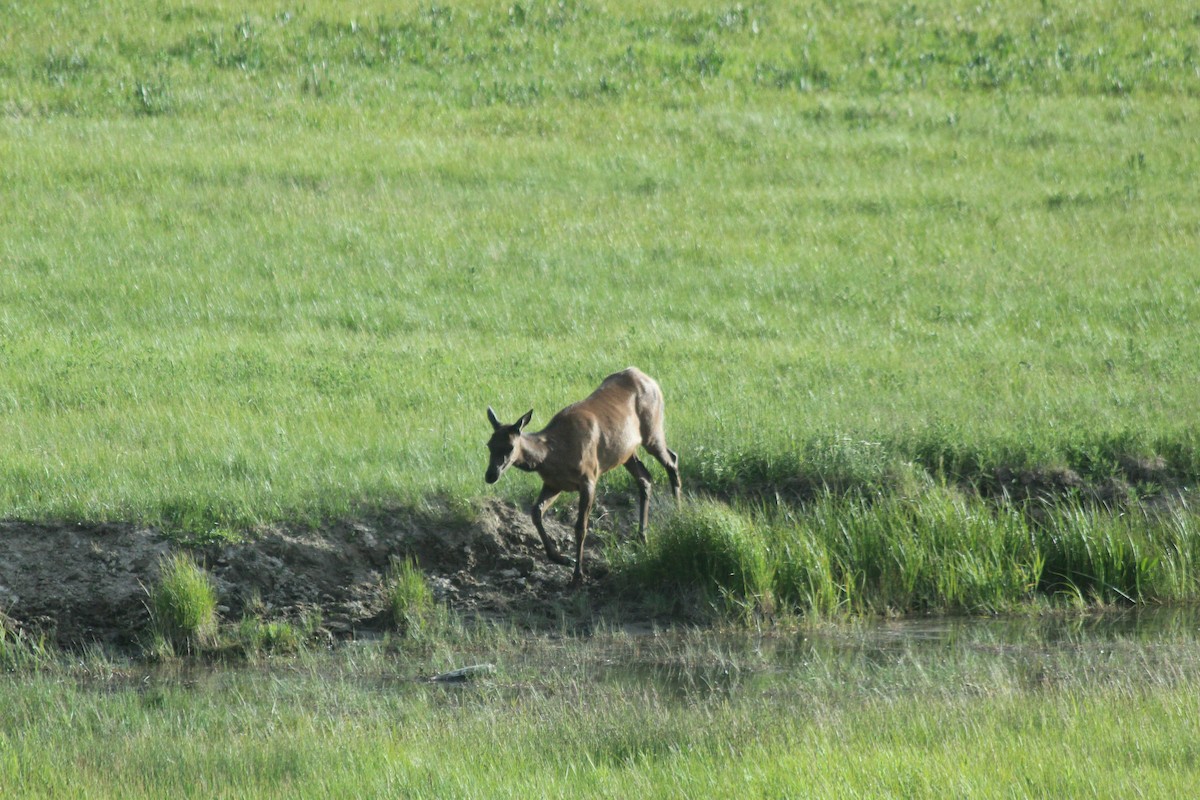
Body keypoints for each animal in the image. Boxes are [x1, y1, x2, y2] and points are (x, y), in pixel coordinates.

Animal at [485, 367, 682, 587]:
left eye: (510, 447)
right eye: (489, 445)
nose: (490, 475)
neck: (553, 454)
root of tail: (648, 378)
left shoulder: (589, 478)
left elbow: (580, 527)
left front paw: (578, 574)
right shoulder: (553, 483)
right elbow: (536, 512)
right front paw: (560, 558)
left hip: (652, 430)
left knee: (672, 460)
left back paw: (678, 516)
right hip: (626, 452)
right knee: (645, 478)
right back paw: (642, 536)